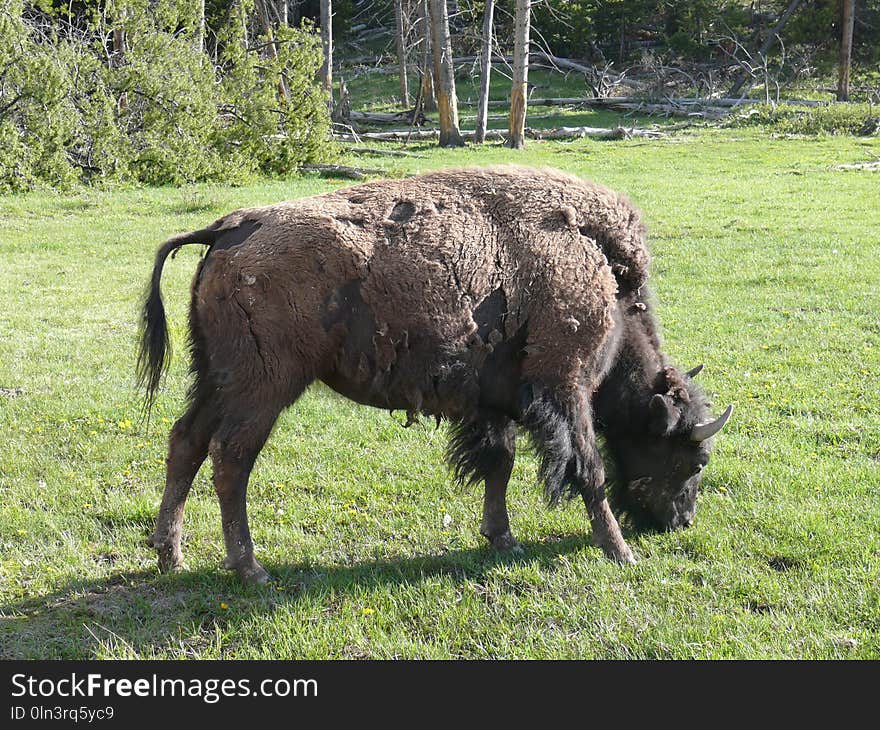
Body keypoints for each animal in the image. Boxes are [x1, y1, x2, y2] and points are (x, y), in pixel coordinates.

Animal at [138, 164, 732, 580]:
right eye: (693, 459)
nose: (681, 522)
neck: (604, 275)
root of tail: (229, 226)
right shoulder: (567, 389)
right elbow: (589, 470)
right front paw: (620, 552)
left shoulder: (496, 403)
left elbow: (499, 463)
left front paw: (502, 538)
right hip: (263, 388)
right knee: (230, 458)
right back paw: (250, 568)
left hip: (216, 379)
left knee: (187, 442)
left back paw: (172, 557)